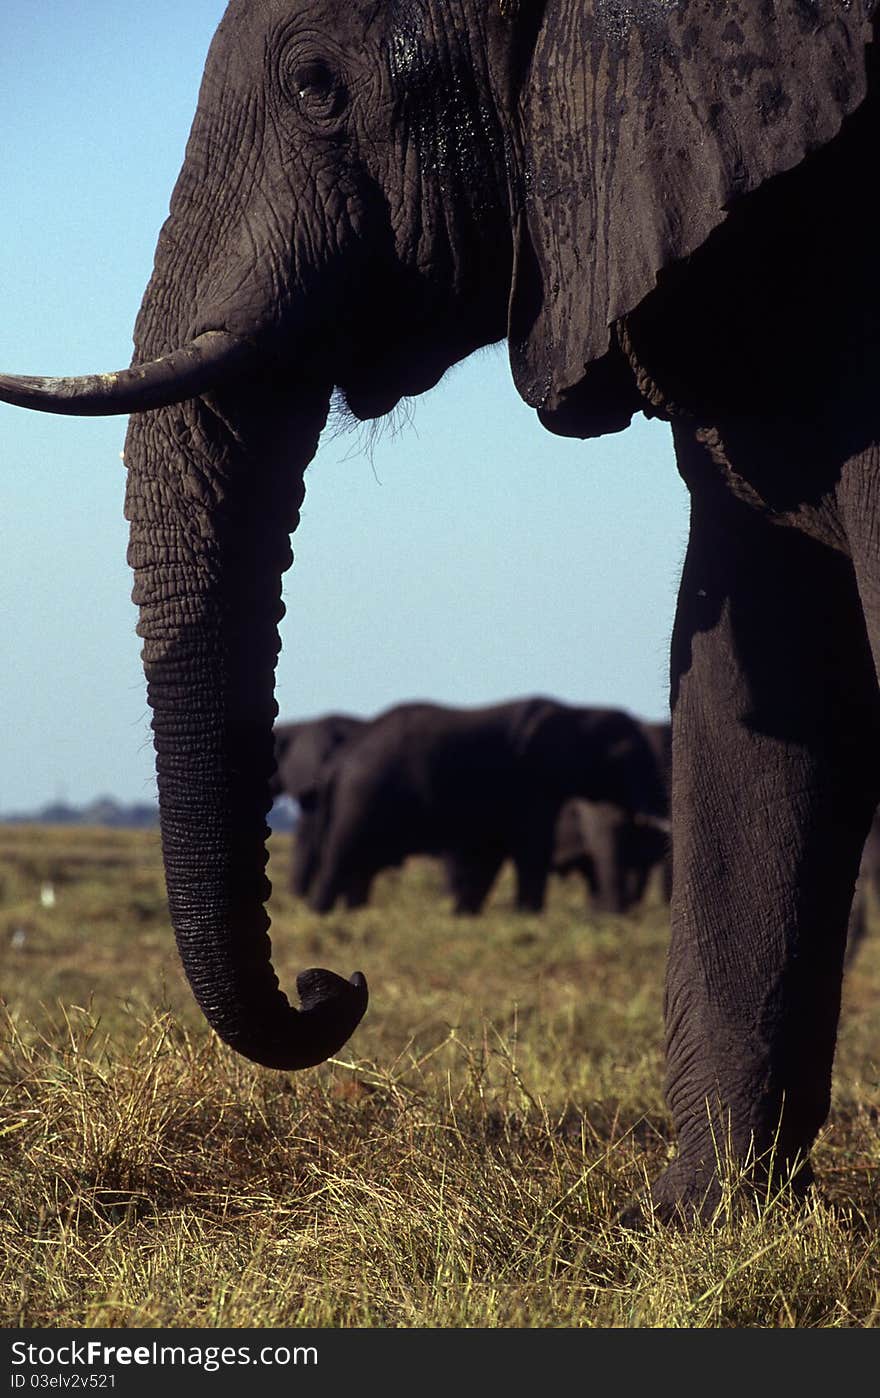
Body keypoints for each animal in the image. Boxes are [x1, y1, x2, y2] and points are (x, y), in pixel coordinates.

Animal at [297, 699, 663, 917]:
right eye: (625, 758)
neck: (576, 711)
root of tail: (337, 762)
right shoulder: (528, 784)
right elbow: (530, 849)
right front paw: (527, 917)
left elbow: (490, 856)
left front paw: (466, 916)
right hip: (361, 794)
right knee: (340, 859)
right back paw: (321, 917)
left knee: (359, 866)